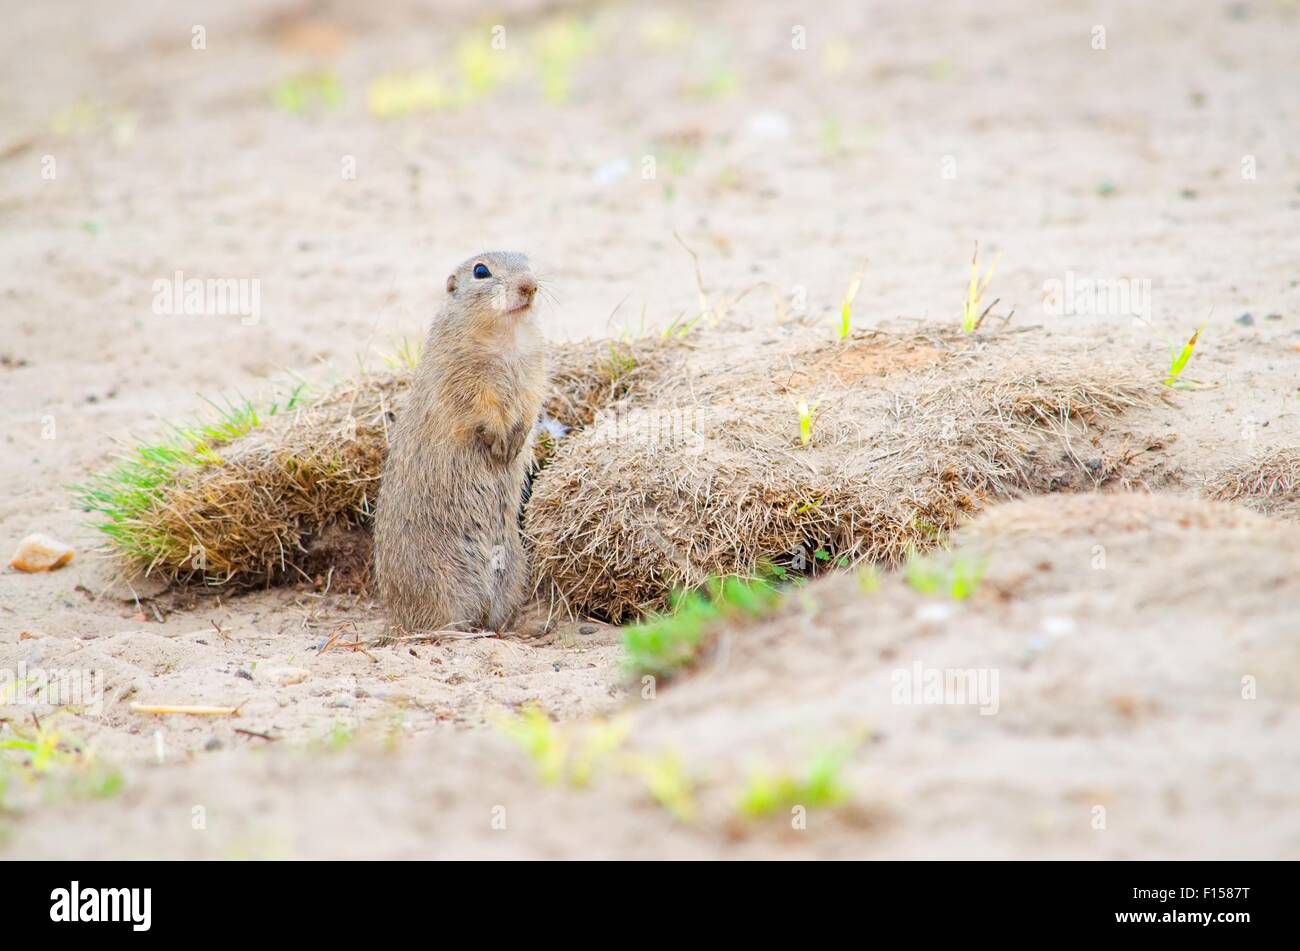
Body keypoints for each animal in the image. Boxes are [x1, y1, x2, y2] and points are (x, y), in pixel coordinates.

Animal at [374, 252, 546, 631]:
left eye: (529, 262)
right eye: (481, 271)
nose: (530, 286)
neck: (505, 334)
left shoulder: (534, 371)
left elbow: (530, 404)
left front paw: (514, 443)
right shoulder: (461, 375)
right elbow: (479, 407)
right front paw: (499, 442)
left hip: (513, 570)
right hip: (437, 580)